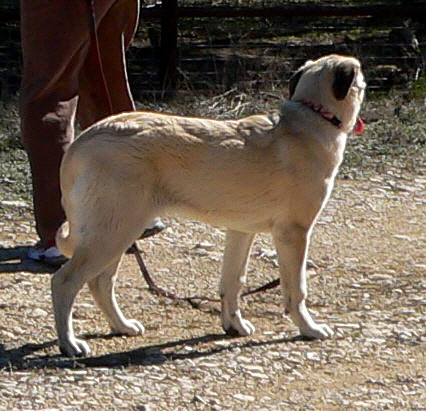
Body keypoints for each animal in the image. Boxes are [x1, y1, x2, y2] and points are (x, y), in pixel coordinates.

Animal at [51, 54, 364, 358]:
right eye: (361, 79)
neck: (312, 114)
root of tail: (84, 139)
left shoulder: (241, 232)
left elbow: (233, 283)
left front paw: (234, 325)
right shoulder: (294, 234)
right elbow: (296, 289)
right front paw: (309, 328)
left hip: (118, 232)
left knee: (101, 282)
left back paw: (122, 326)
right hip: (114, 233)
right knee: (64, 282)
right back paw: (70, 344)